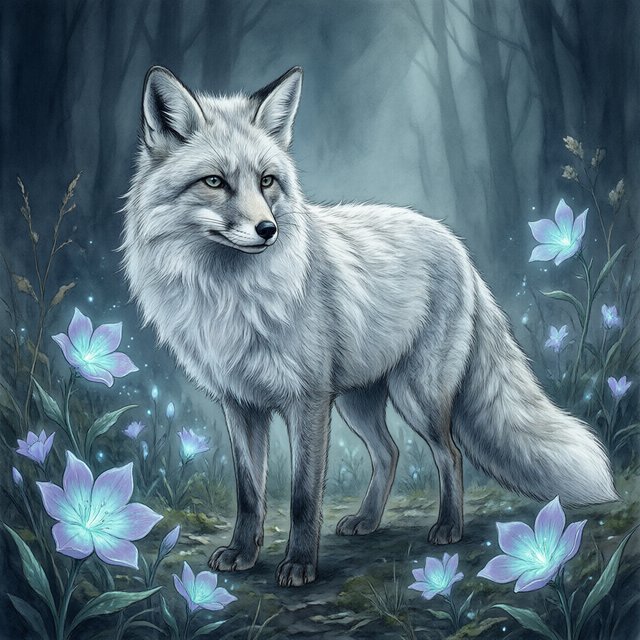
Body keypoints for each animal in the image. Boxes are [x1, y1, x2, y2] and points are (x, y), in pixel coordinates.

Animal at [121, 65, 617, 587]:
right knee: (389, 453)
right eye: (214, 182)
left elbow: (302, 497)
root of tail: (456, 244)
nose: (267, 230)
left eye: (267, 180)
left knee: (451, 454)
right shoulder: (241, 404)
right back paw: (368, 520)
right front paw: (242, 552)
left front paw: (300, 564)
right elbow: (250, 494)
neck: (230, 299)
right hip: (358, 402)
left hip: (417, 396)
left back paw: (448, 528)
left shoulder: (307, 401)